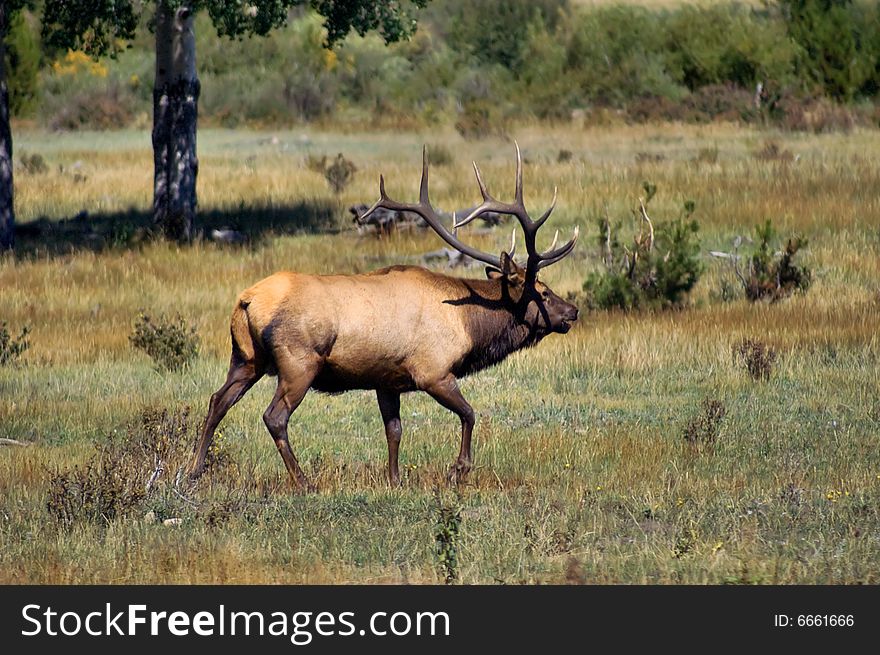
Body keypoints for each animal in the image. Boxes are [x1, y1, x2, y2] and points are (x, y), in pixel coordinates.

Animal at [187, 145, 576, 492]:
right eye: (541, 291)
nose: (572, 311)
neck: (469, 323)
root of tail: (247, 300)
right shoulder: (433, 370)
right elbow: (469, 413)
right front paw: (458, 472)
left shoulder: (386, 379)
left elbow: (394, 430)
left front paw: (395, 480)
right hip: (298, 362)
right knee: (274, 416)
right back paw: (303, 482)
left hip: (246, 358)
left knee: (217, 401)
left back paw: (193, 472)